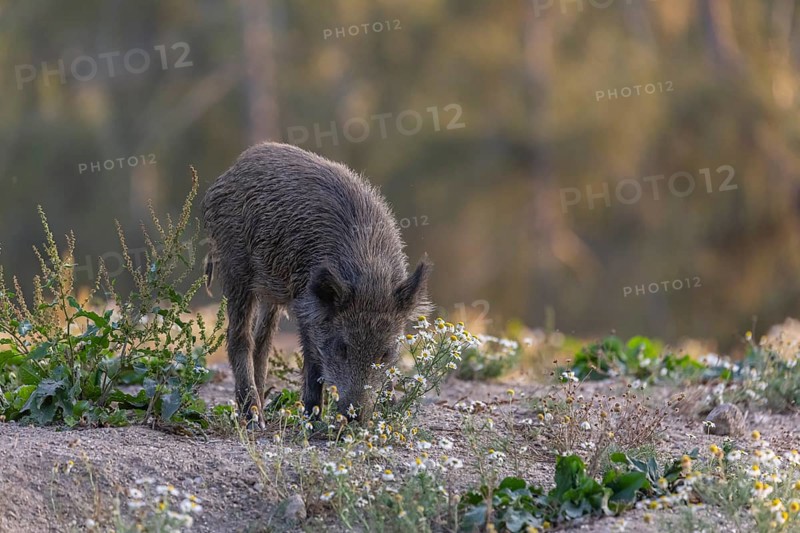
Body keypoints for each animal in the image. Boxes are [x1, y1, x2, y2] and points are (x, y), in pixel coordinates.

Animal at [202, 142, 431, 425]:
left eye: (385, 353)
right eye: (342, 347)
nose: (354, 417)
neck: (369, 273)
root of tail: (231, 171)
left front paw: (389, 410)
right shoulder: (308, 310)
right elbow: (313, 363)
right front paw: (312, 419)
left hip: (271, 290)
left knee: (262, 343)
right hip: (236, 268)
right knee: (239, 337)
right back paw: (254, 418)